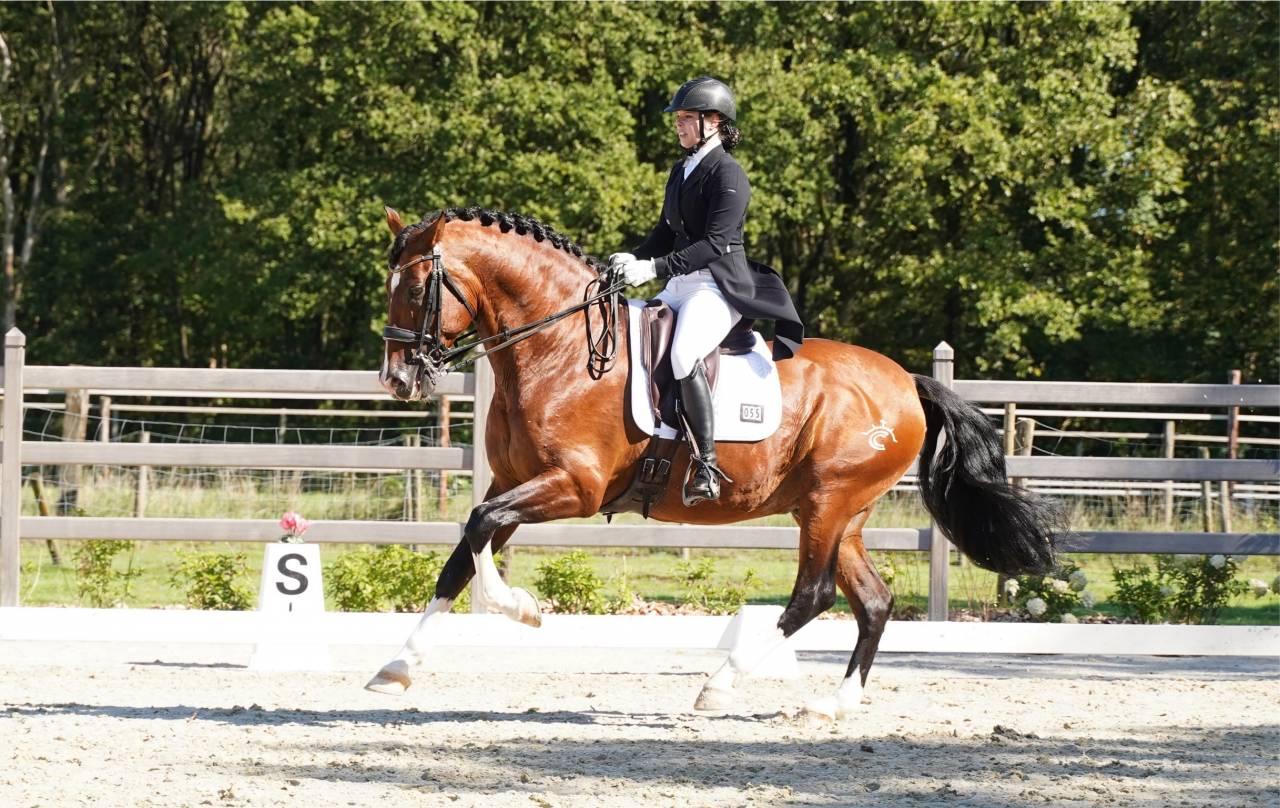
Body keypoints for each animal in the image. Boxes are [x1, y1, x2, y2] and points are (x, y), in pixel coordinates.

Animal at [367, 205, 1061, 719]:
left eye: (418, 288)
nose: (396, 380)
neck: (557, 347)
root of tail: (908, 383)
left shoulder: (573, 486)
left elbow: (479, 528)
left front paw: (522, 608)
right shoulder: (516, 481)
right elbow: (465, 552)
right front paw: (397, 667)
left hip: (829, 505)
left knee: (813, 595)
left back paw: (719, 685)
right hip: (841, 515)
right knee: (874, 601)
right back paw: (833, 706)